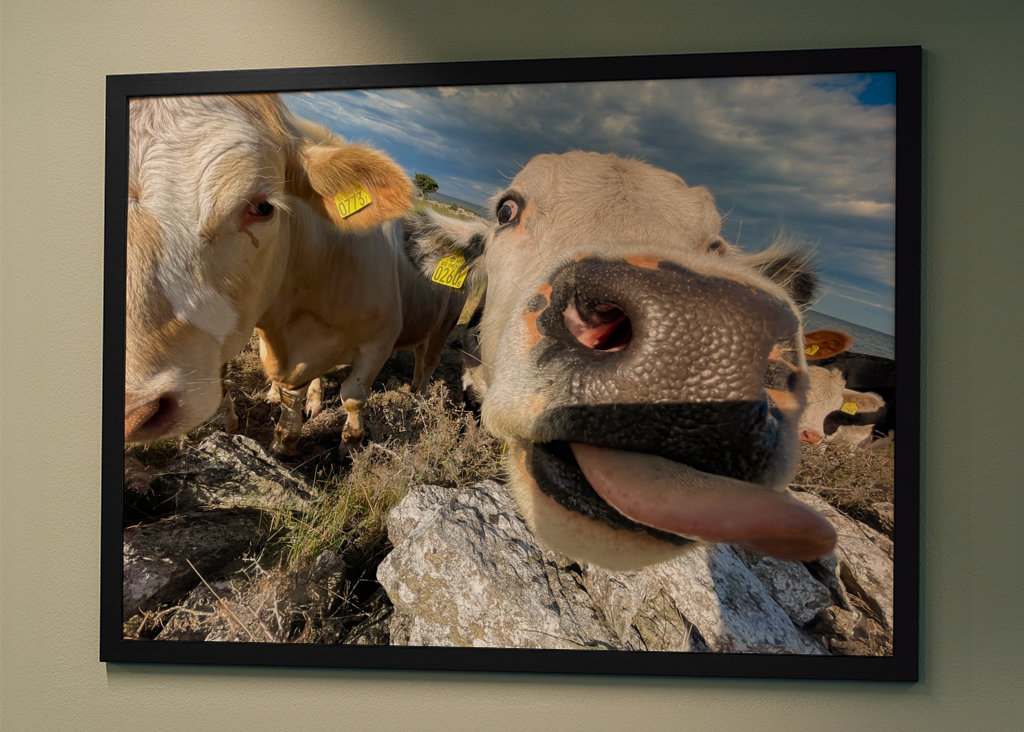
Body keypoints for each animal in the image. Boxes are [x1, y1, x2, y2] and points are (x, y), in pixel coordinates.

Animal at [124, 93, 465, 455]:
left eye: (263, 207)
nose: (136, 411)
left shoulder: (380, 339)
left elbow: (353, 396)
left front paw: (350, 446)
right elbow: (292, 393)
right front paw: (284, 440)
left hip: (443, 326)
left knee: (426, 363)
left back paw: (419, 398)